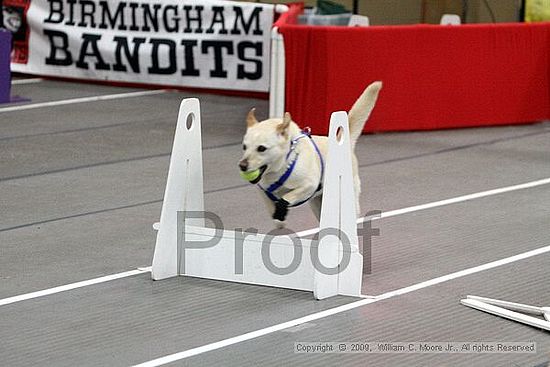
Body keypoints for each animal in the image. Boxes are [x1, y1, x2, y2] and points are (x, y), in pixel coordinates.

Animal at [242, 82, 384, 229]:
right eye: (244, 147)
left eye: (261, 148)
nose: (242, 166)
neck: (281, 168)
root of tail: (343, 142)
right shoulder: (262, 190)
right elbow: (272, 209)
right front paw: (279, 219)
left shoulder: (309, 185)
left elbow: (287, 197)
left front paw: (281, 208)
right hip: (318, 206)